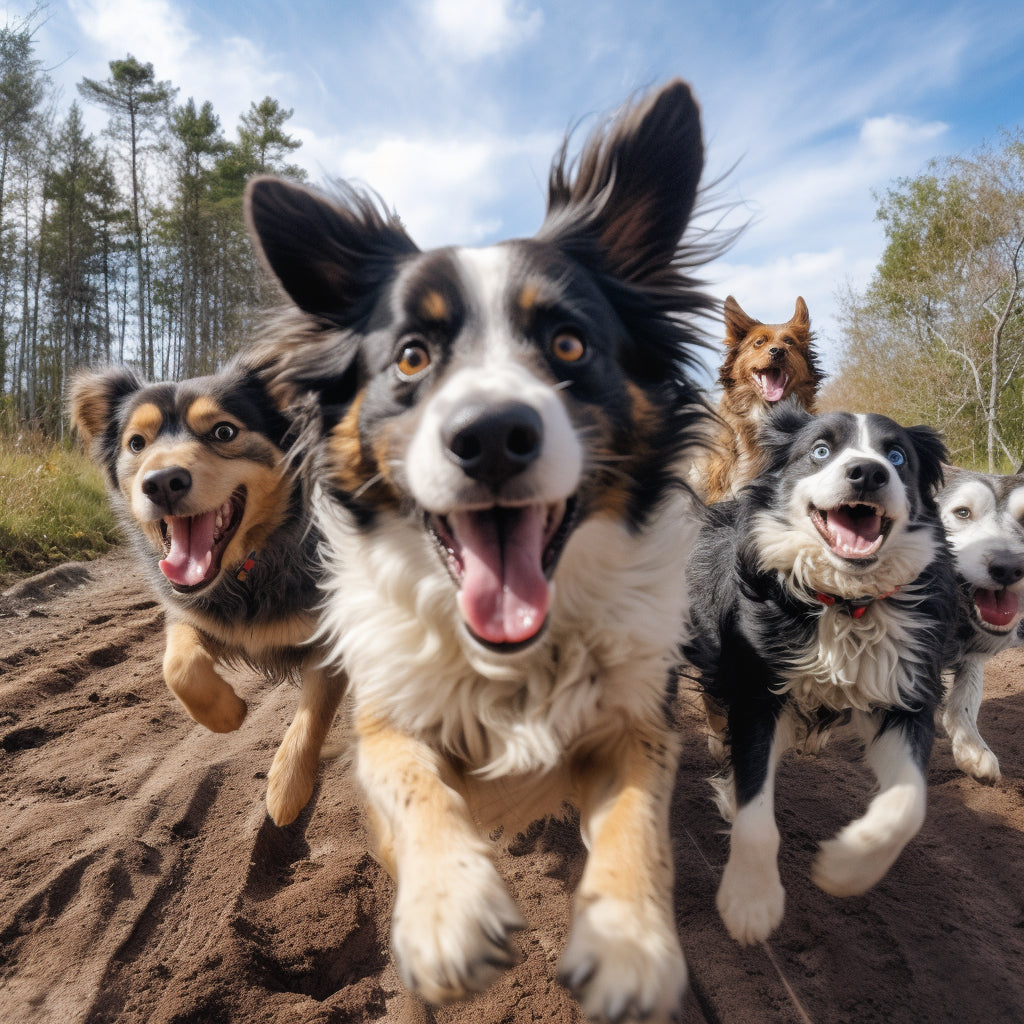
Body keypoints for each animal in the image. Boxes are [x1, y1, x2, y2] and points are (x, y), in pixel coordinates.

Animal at [684, 403, 954, 946]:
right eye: (821, 450)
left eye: (897, 455)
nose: (868, 472)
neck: (845, 602)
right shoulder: (757, 689)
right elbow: (754, 806)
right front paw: (750, 900)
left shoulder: (905, 685)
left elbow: (908, 805)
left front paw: (844, 867)